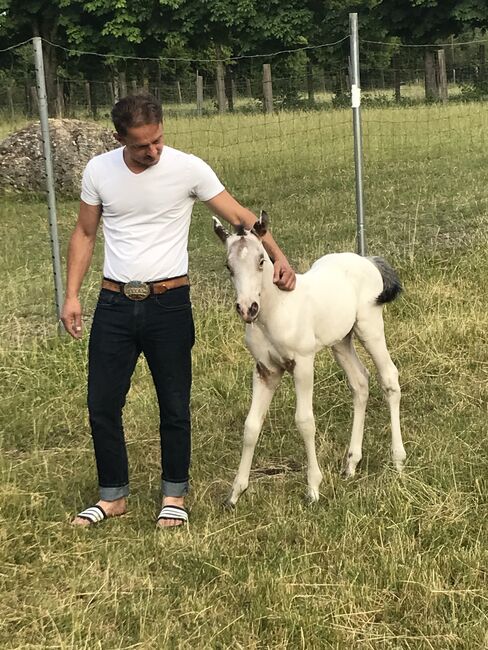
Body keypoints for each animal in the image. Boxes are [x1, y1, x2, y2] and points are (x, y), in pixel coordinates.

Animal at [215, 210, 406, 504]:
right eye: (228, 266)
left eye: (261, 260)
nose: (248, 309)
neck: (277, 310)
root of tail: (366, 260)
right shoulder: (265, 370)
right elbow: (251, 426)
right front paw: (235, 493)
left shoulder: (303, 363)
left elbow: (305, 421)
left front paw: (313, 488)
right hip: (341, 341)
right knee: (360, 382)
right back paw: (351, 462)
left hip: (369, 326)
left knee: (389, 377)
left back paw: (397, 460)